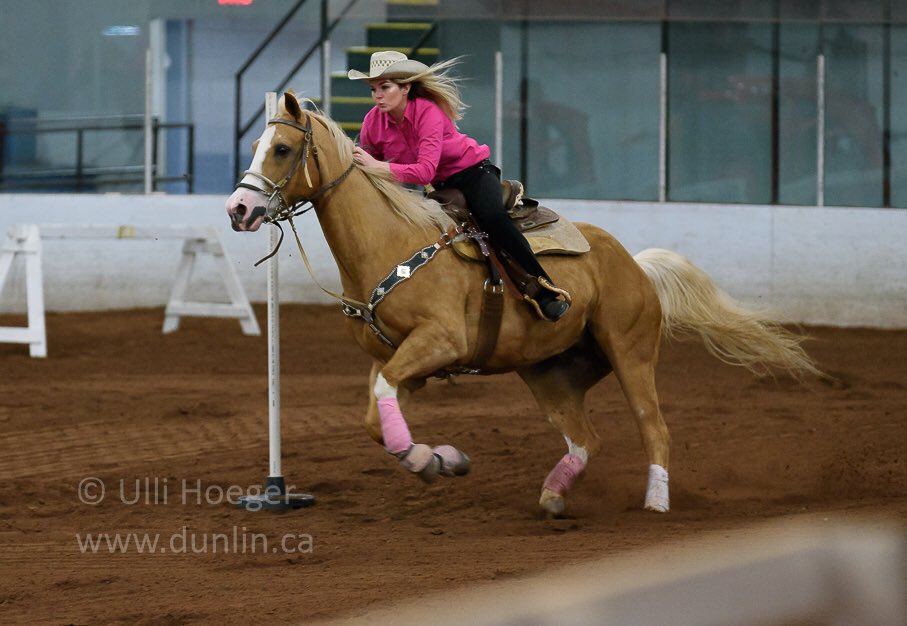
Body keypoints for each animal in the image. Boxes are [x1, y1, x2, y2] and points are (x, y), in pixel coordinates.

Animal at [225, 92, 821, 516]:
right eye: (256, 145)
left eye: (281, 149)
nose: (238, 209)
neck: (389, 242)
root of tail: (633, 264)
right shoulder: (400, 361)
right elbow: (377, 416)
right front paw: (440, 461)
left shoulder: (438, 342)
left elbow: (381, 404)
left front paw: (435, 460)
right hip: (549, 372)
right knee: (586, 438)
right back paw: (555, 495)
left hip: (631, 354)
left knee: (654, 427)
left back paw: (656, 503)